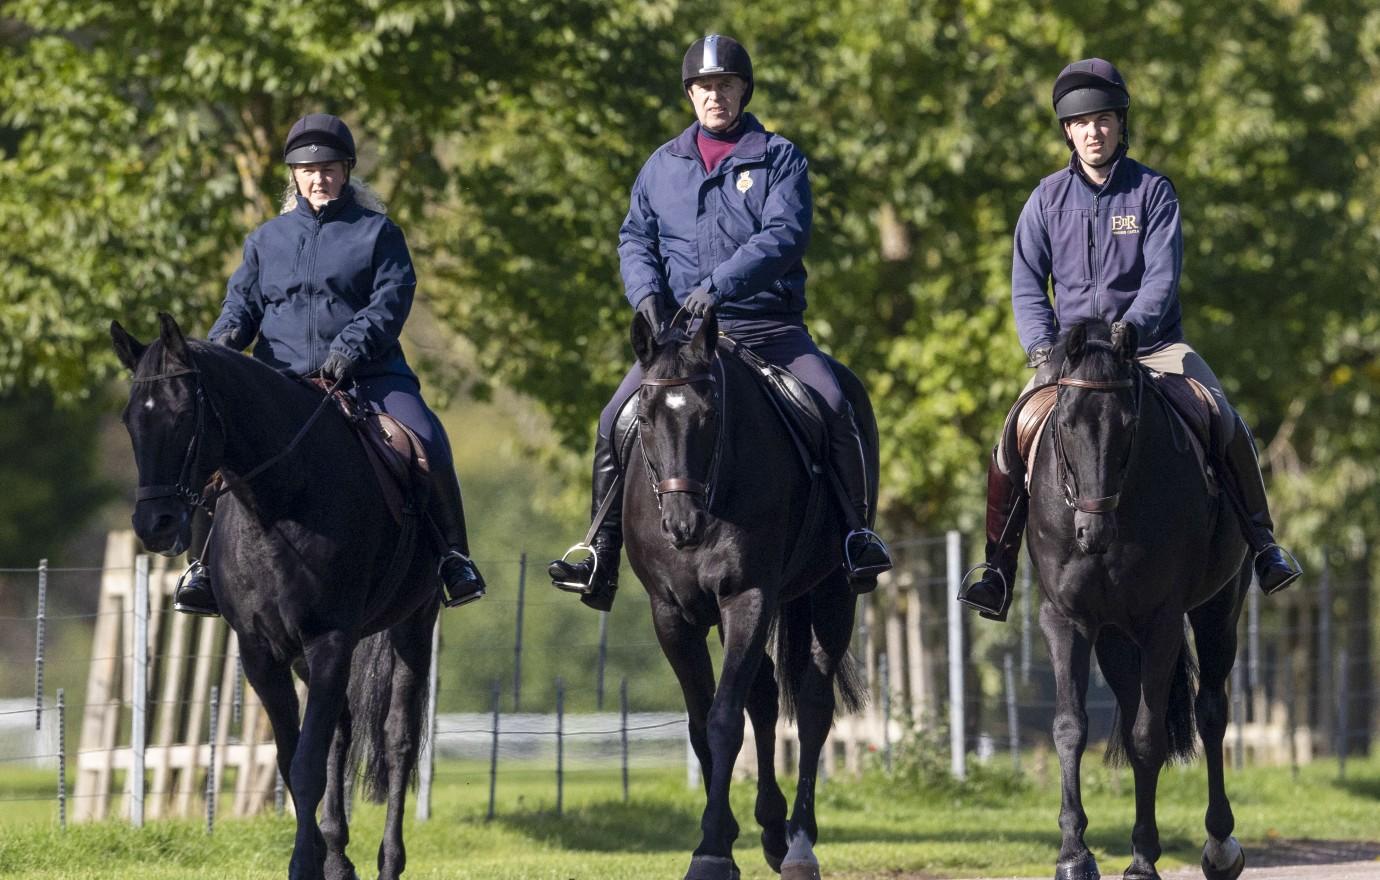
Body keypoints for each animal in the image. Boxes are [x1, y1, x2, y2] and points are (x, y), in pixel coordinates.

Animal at [113, 317, 438, 880]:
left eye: (182, 416)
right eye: (133, 420)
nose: (154, 525)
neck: (279, 504)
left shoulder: (330, 640)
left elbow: (307, 765)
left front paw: (303, 864)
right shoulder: (261, 651)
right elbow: (294, 759)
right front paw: (319, 859)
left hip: (413, 625)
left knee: (397, 739)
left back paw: (388, 861)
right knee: (340, 733)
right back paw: (339, 857)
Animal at [629, 314, 872, 877]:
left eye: (710, 413)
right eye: (645, 418)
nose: (682, 526)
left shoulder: (750, 596)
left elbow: (723, 720)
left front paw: (712, 851)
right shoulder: (671, 615)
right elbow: (702, 724)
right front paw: (721, 836)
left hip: (831, 592)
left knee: (812, 707)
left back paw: (799, 843)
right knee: (763, 696)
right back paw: (771, 828)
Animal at [1032, 324, 1258, 880]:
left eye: (1129, 425)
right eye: (1065, 422)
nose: (1093, 532)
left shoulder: (1163, 625)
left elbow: (1147, 740)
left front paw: (1141, 860)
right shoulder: (1064, 620)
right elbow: (1069, 728)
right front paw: (1073, 855)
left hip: (1218, 612)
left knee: (1211, 712)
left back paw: (1220, 846)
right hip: (1116, 639)